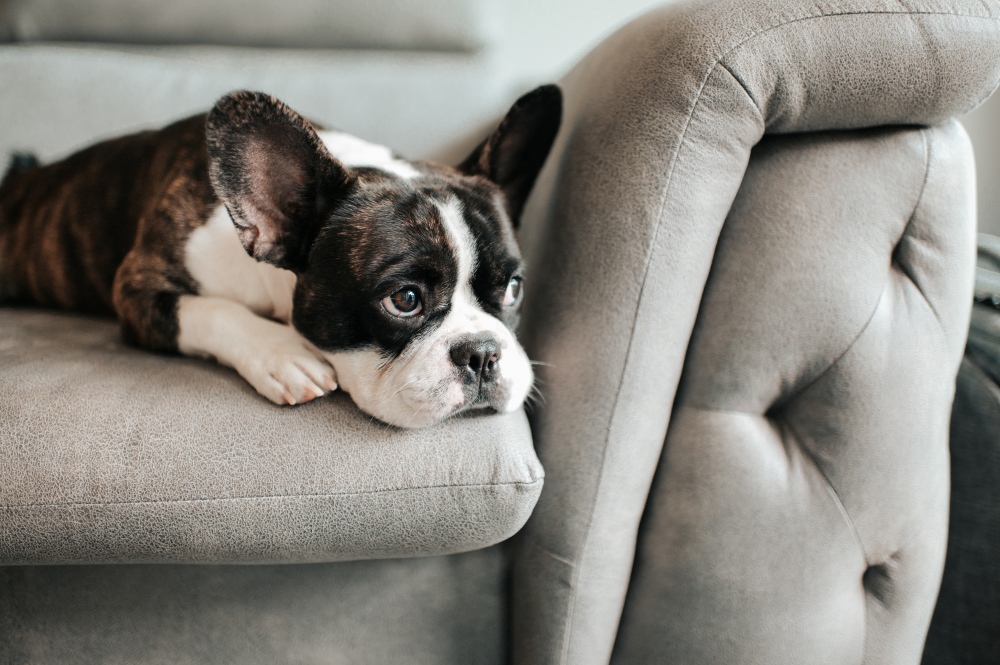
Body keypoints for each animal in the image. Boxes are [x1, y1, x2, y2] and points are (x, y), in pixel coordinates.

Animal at [0, 85, 564, 428]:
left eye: (513, 288)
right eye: (404, 300)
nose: (483, 352)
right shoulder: (138, 286)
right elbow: (212, 309)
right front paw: (281, 353)